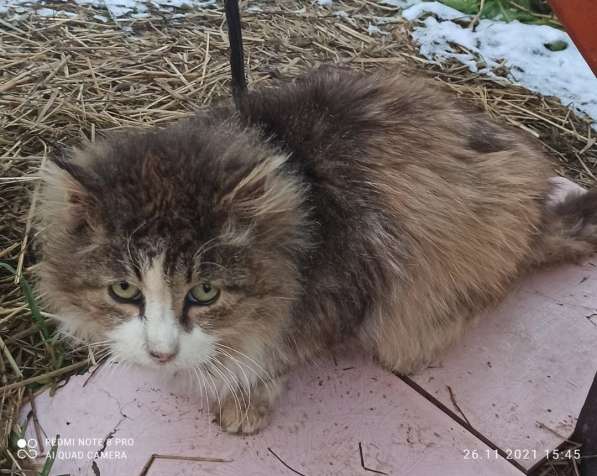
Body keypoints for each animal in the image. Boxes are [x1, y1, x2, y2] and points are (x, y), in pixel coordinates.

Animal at [35, 67, 596, 436]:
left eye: (206, 292)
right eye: (123, 290)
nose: (160, 353)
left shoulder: (336, 295)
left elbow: (273, 358)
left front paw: (245, 400)